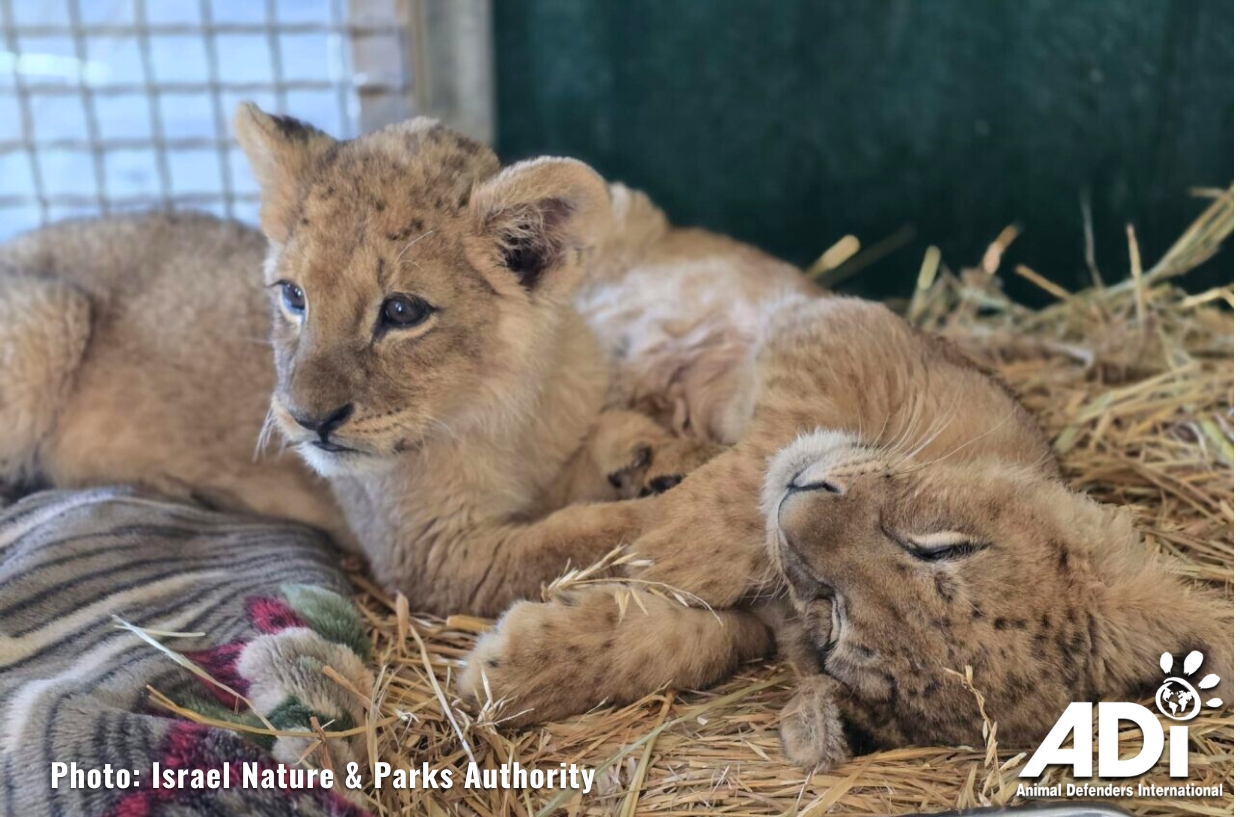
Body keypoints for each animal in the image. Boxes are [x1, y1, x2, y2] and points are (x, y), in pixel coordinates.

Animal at [459, 220, 1234, 769]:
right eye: (941, 547)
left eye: (835, 619)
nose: (794, 505)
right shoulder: (834, 327)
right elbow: (743, 476)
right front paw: (656, 540)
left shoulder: (761, 623)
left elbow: (683, 641)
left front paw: (508, 666)